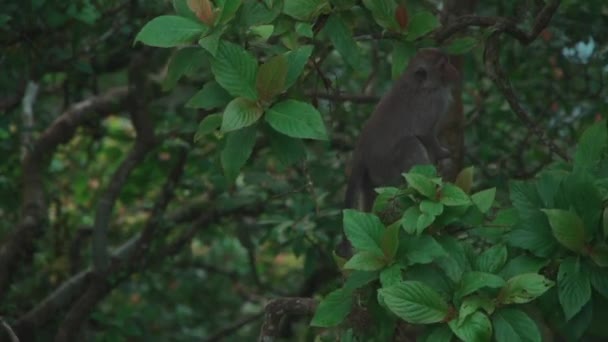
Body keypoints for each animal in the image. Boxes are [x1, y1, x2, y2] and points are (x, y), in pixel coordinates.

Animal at [334, 47, 458, 256]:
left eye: (448, 62)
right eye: (443, 66)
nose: (454, 70)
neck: (422, 84)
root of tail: (360, 155)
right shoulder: (435, 101)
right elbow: (424, 134)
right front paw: (441, 153)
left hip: (371, 177)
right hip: (386, 166)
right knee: (410, 144)